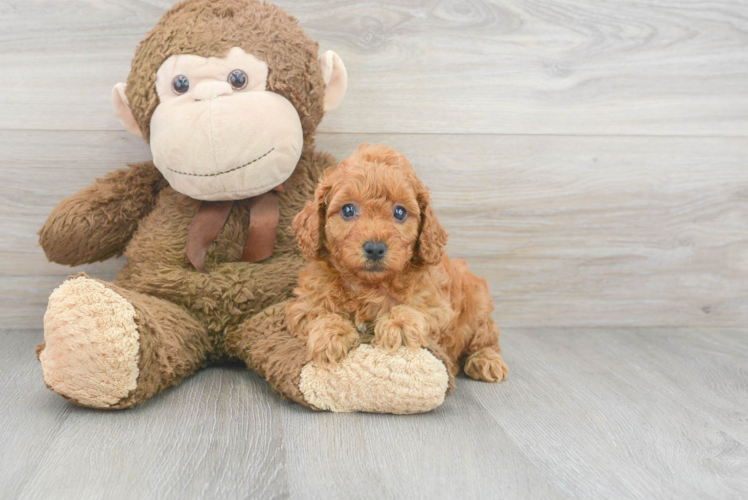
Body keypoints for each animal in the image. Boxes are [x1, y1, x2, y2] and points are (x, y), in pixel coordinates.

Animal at [286, 143, 508, 380]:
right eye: (348, 210)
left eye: (400, 212)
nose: (375, 248)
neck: (369, 286)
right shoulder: (304, 304)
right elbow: (318, 313)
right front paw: (332, 333)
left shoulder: (438, 306)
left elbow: (418, 310)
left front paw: (398, 324)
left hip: (478, 305)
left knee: (487, 338)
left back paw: (486, 361)